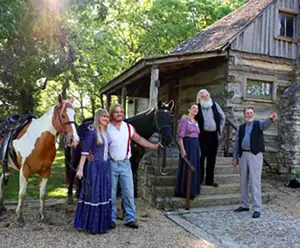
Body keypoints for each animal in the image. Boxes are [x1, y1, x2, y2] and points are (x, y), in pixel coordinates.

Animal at [0, 94, 79, 224]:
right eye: (63, 115)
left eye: (74, 114)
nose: (75, 140)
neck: (39, 141)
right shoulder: (24, 171)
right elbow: (22, 194)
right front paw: (19, 217)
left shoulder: (46, 171)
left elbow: (42, 195)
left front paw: (43, 216)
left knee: (1, 180)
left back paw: (2, 206)